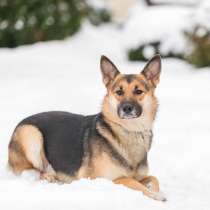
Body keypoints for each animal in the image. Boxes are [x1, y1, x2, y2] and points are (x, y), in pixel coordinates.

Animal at [7, 55, 166, 201]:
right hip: (31, 134)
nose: (127, 108)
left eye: (138, 91)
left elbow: (154, 178)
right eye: (119, 92)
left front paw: (157, 191)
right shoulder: (105, 179)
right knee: (32, 171)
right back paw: (50, 177)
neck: (129, 131)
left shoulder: (142, 176)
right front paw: (156, 195)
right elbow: (132, 182)